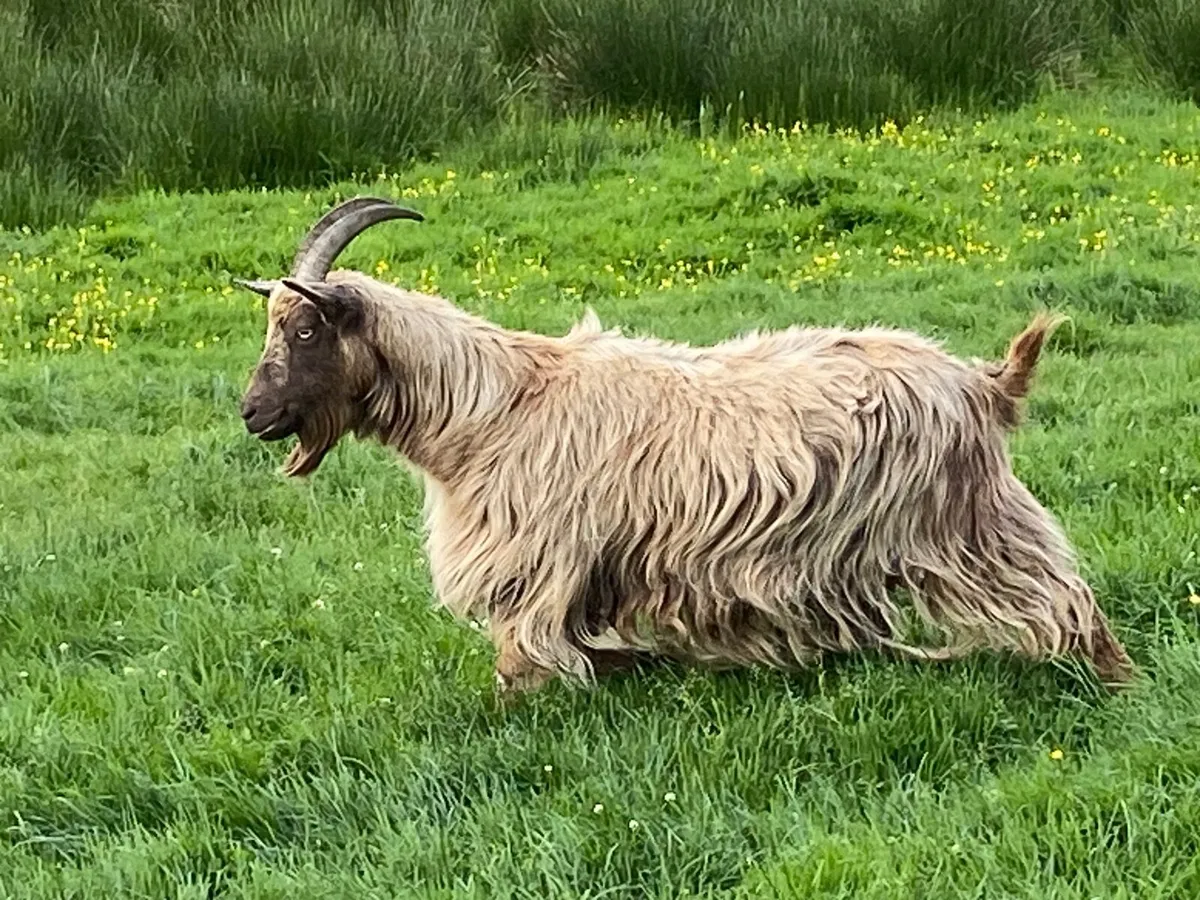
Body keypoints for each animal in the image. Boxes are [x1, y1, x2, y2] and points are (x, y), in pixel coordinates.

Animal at [235, 196, 1135, 694]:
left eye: (306, 328)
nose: (251, 413)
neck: (489, 410)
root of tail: (984, 381)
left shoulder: (536, 569)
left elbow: (520, 668)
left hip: (966, 527)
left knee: (1066, 601)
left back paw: (1111, 685)